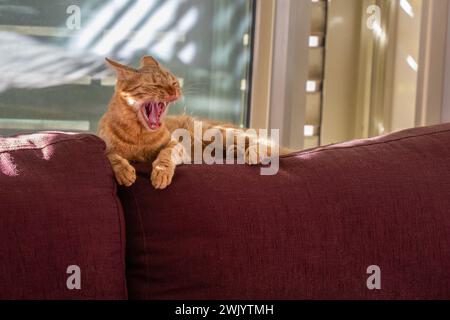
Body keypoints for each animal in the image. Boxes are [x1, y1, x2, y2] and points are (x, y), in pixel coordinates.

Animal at [97, 56, 288, 189]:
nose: (174, 90)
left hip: (219, 133)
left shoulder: (175, 145)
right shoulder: (106, 146)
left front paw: (161, 173)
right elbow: (112, 156)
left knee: (270, 144)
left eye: (173, 82)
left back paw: (253, 153)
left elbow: (164, 156)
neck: (139, 135)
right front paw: (124, 171)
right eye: (156, 85)